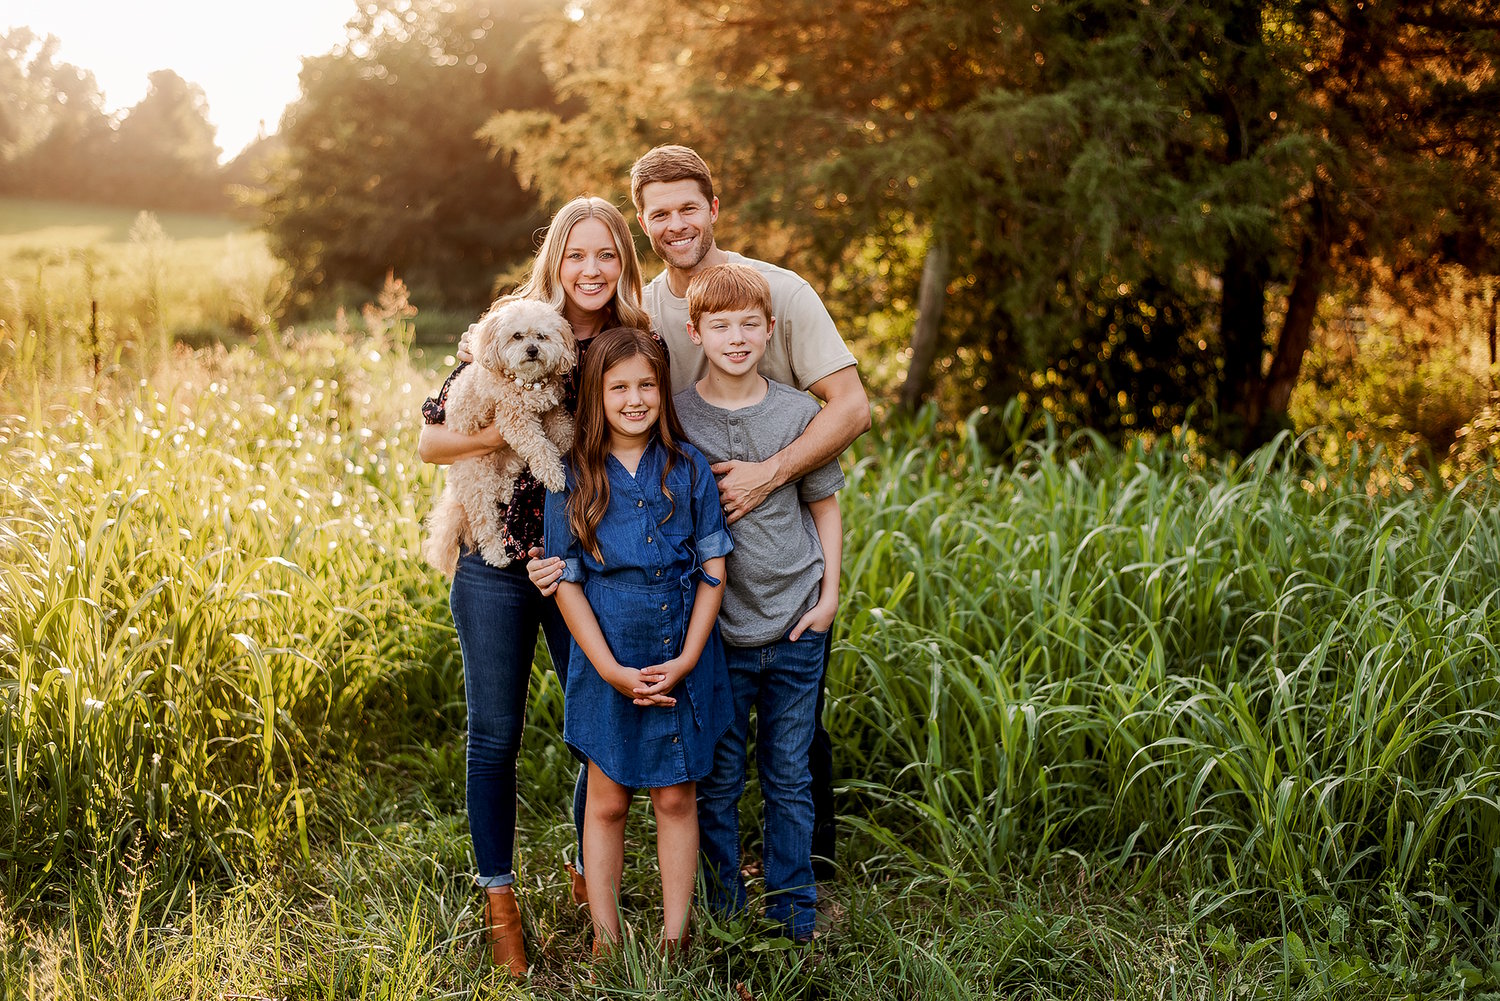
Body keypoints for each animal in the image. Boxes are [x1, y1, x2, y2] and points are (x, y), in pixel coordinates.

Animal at [429, 301, 579, 576]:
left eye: (541, 336)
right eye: (517, 336)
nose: (532, 350)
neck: (527, 383)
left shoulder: (553, 411)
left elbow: (564, 432)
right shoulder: (515, 421)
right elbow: (540, 446)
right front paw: (553, 474)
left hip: (510, 458)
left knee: (506, 478)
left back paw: (506, 490)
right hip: (478, 477)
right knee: (485, 521)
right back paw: (497, 554)